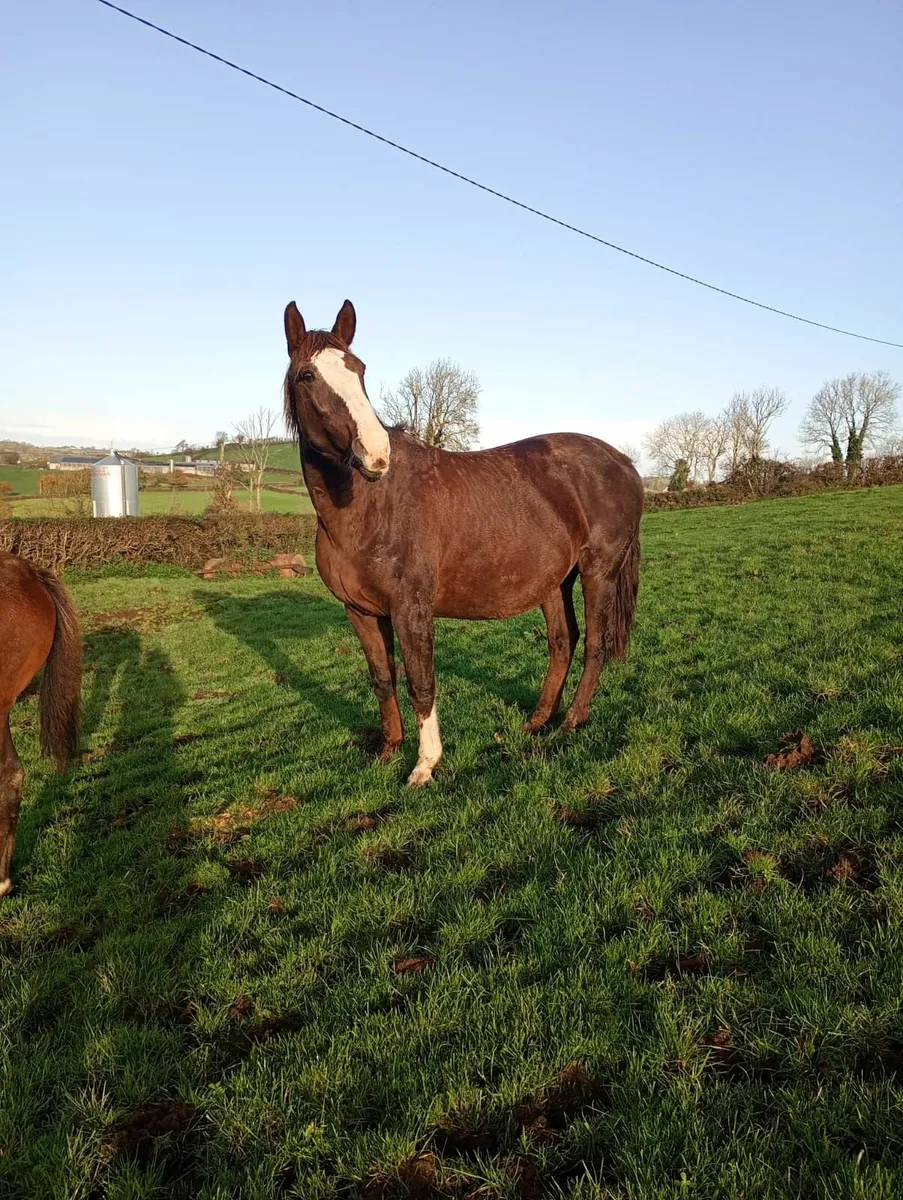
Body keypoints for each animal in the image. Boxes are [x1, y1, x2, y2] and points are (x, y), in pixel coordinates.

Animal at [283, 300, 644, 786]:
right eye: (307, 375)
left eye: (359, 370)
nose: (375, 454)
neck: (367, 506)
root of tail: (623, 461)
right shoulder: (359, 611)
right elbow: (382, 678)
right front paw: (388, 750)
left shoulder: (410, 608)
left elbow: (421, 680)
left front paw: (424, 765)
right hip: (555, 582)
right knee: (561, 642)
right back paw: (537, 722)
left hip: (599, 571)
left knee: (595, 645)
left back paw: (571, 722)